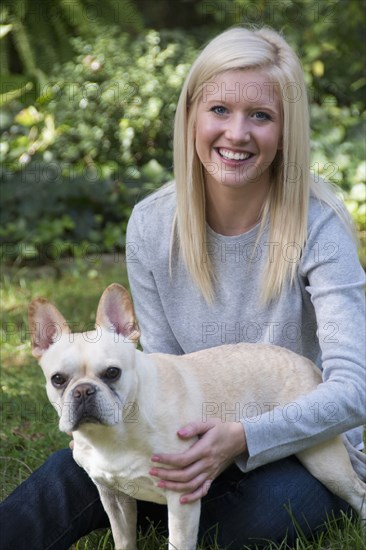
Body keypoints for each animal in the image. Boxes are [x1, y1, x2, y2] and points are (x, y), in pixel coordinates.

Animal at [30, 284, 364, 550]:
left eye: (112, 373)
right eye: (58, 379)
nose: (83, 391)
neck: (118, 432)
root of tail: (307, 364)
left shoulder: (182, 501)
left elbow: (178, 544)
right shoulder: (115, 498)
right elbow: (123, 540)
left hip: (323, 460)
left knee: (358, 491)